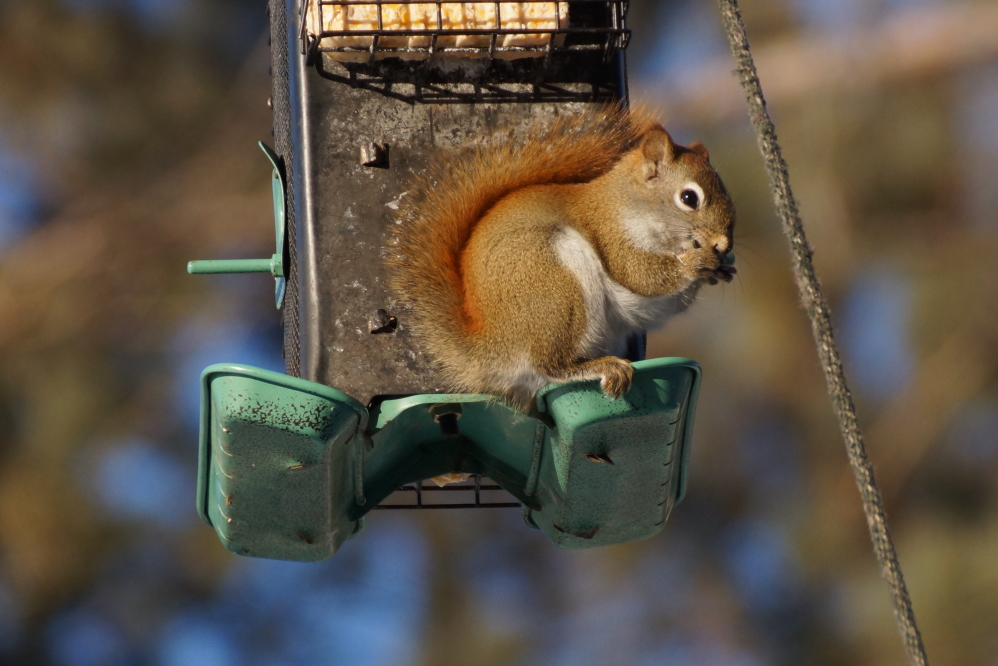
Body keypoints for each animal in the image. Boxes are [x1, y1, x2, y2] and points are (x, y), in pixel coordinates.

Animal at [389, 105, 736, 410]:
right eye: (689, 198)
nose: (723, 243)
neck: (629, 203)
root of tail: (492, 346)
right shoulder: (611, 233)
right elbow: (638, 274)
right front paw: (696, 264)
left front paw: (723, 269)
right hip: (557, 289)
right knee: (549, 366)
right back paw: (603, 367)